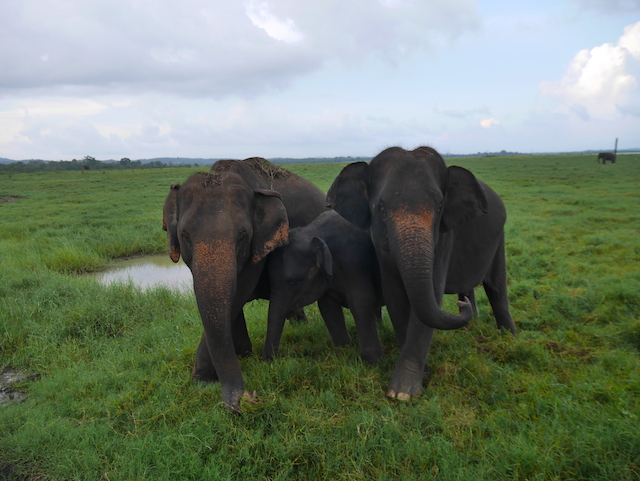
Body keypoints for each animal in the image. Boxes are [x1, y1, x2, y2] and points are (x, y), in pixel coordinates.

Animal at [162, 158, 328, 412]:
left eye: (242, 236)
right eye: (185, 236)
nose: (246, 398)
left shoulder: (259, 245)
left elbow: (239, 292)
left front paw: (204, 378)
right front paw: (241, 356)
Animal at [262, 210, 382, 364]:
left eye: (292, 282)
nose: (268, 361)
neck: (314, 231)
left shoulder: (355, 263)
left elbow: (361, 303)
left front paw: (376, 364)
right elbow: (328, 307)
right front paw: (343, 354)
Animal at [328, 144, 516, 400]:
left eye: (439, 207)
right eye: (381, 208)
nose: (461, 307)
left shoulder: (444, 238)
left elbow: (432, 297)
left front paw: (402, 393)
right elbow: (396, 297)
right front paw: (419, 375)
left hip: (499, 239)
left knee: (496, 289)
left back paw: (509, 338)